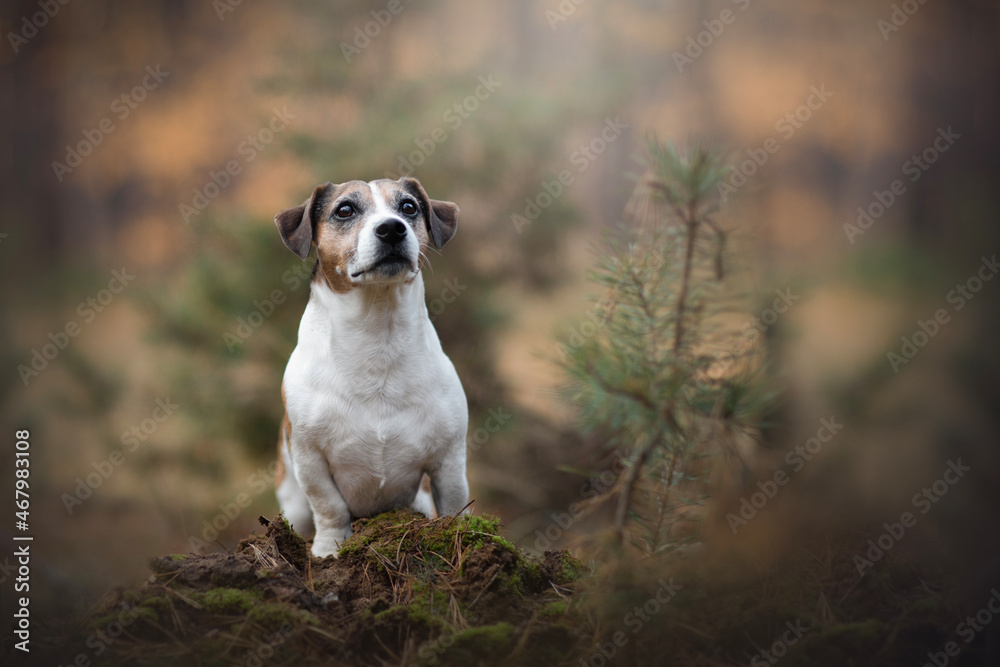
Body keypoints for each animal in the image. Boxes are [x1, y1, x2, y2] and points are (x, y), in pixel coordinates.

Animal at [272, 177, 470, 560]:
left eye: (408, 207)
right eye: (345, 210)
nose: (392, 228)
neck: (378, 335)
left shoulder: (449, 460)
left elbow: (454, 507)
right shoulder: (310, 459)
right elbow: (329, 506)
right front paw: (329, 549)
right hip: (293, 501)